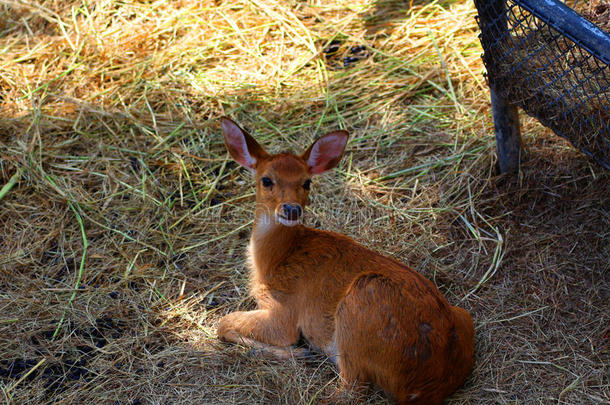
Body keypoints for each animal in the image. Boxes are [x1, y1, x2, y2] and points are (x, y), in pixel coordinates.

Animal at [216, 117, 472, 404]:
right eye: (266, 180)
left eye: (307, 182)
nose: (292, 209)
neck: (276, 261)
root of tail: (428, 384)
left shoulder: (285, 309)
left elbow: (224, 323)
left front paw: (294, 351)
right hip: (463, 315)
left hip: (358, 306)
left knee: (349, 390)